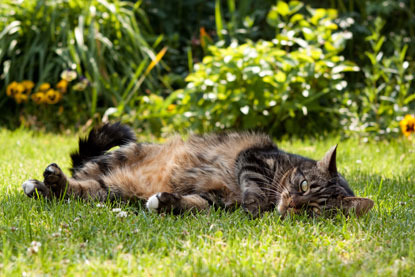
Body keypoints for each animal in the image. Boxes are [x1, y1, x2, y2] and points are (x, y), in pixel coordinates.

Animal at [21, 122, 376, 217]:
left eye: (315, 210)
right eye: (302, 186)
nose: (291, 205)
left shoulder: (213, 200)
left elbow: (192, 203)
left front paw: (165, 201)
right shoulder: (254, 158)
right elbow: (256, 190)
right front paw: (255, 207)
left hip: (109, 192)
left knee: (77, 190)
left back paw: (44, 185)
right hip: (118, 157)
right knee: (78, 175)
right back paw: (47, 178)